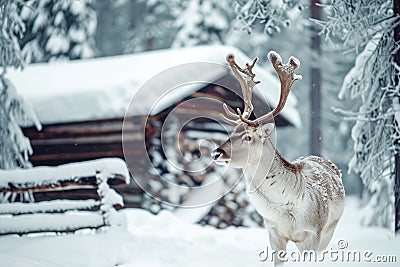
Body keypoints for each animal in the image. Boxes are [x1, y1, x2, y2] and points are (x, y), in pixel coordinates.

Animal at [211, 50, 346, 266]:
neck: (285, 211)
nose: (217, 152)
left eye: (248, 137)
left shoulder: (313, 233)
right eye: (232, 132)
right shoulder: (274, 231)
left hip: (330, 230)